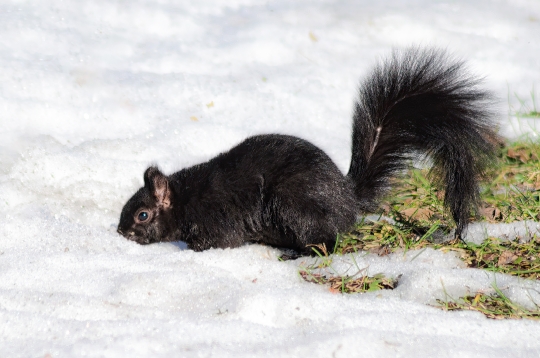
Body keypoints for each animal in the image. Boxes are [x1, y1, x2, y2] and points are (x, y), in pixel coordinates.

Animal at [117, 48, 498, 255]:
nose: (121, 234)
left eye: (142, 215)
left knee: (326, 242)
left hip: (294, 204)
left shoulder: (217, 219)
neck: (185, 199)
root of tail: (348, 198)